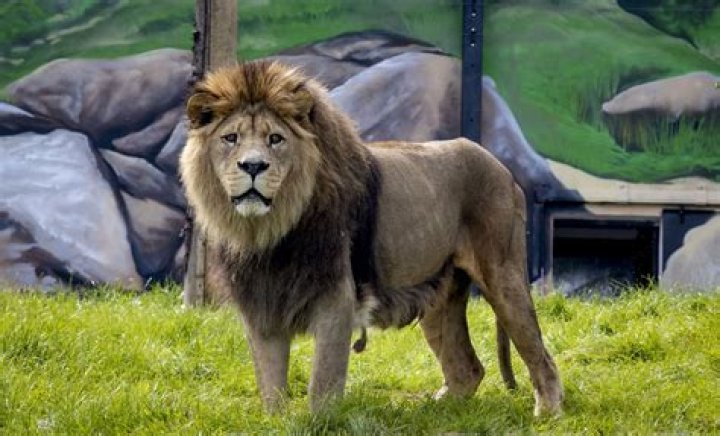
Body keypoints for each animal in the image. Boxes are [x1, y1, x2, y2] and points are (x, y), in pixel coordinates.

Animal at [179, 60, 562, 416]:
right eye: (231, 139)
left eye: (276, 139)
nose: (253, 166)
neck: (268, 232)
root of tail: (503, 169)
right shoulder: (261, 303)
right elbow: (270, 383)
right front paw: (277, 421)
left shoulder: (336, 298)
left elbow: (323, 381)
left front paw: (320, 422)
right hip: (439, 296)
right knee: (468, 368)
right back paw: (437, 410)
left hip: (503, 276)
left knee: (540, 355)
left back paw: (547, 412)